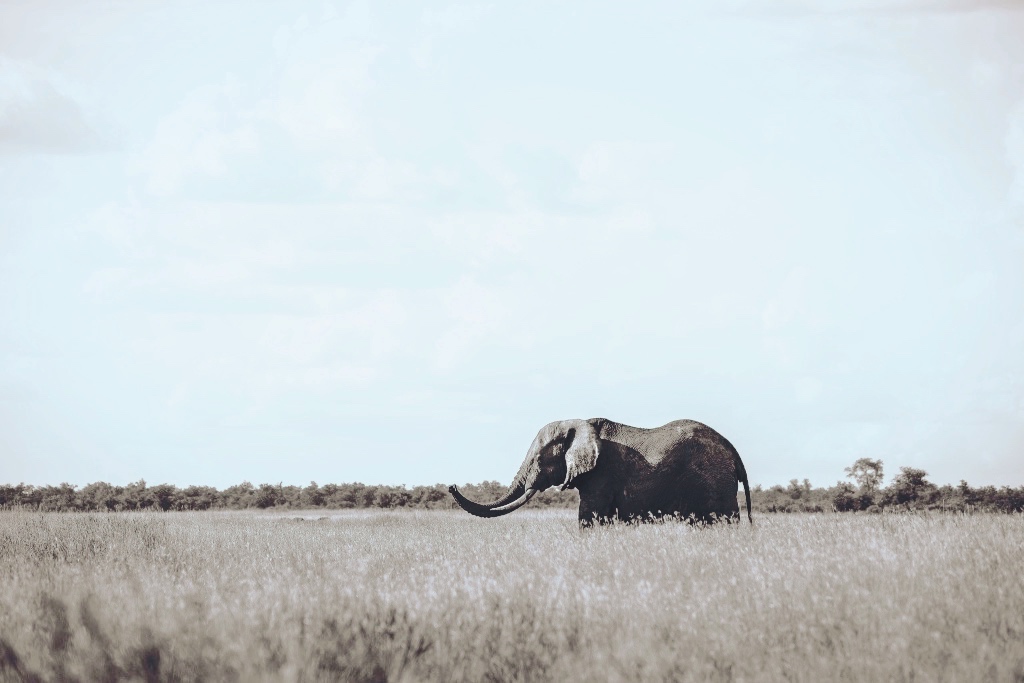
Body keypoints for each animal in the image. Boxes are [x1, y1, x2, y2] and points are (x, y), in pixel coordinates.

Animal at [449, 418, 751, 526]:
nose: (451, 485)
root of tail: (733, 450)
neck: (578, 423)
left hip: (715, 479)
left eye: (537, 459)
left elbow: (589, 515)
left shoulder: (602, 473)